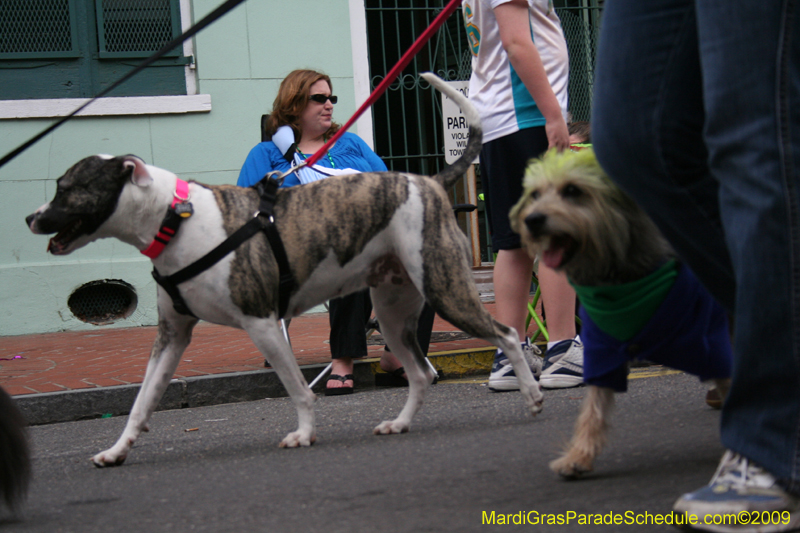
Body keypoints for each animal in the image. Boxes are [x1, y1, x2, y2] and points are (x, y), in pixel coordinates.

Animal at [25, 74, 544, 466]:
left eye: (67, 187)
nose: (31, 217)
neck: (175, 217)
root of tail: (429, 182)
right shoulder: (172, 337)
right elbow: (140, 402)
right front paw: (116, 450)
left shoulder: (263, 324)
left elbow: (298, 390)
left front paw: (304, 433)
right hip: (395, 312)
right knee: (420, 373)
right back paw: (400, 423)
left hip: (444, 288)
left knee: (505, 333)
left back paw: (532, 395)